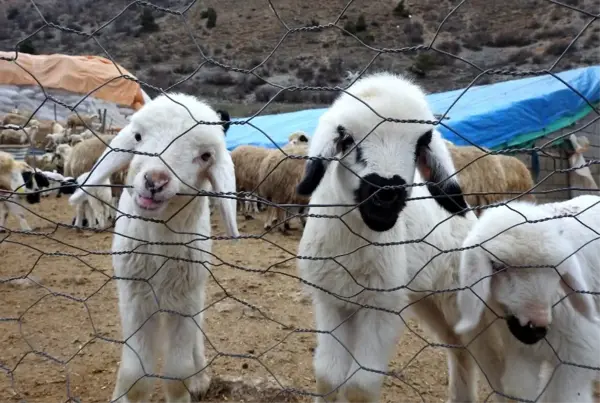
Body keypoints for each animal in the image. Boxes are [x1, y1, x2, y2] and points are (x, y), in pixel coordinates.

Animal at [68, 92, 239, 403]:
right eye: (137, 136)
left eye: (205, 156)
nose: (155, 181)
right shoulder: (135, 297)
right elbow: (135, 376)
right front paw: (125, 395)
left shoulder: (184, 300)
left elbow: (177, 375)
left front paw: (189, 385)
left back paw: (200, 378)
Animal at [292, 72, 508, 403]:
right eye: (347, 139)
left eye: (420, 144)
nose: (386, 195)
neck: (356, 243)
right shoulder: (331, 300)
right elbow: (328, 376)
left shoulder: (381, 306)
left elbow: (360, 386)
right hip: (427, 298)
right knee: (459, 349)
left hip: (464, 297)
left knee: (494, 365)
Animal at [454, 195, 600, 400]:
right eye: (497, 266)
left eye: (557, 270)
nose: (537, 328)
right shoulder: (521, 354)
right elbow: (520, 389)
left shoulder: (578, 356)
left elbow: (564, 396)